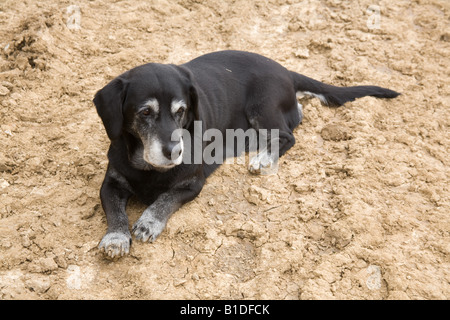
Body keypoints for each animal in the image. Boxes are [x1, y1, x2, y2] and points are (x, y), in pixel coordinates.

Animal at [93, 51, 400, 258]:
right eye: (145, 112)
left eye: (181, 111)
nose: (176, 151)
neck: (148, 168)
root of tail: (286, 71)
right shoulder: (111, 183)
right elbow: (114, 211)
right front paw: (116, 238)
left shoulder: (192, 184)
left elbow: (166, 199)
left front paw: (148, 222)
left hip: (263, 104)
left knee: (287, 135)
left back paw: (263, 158)